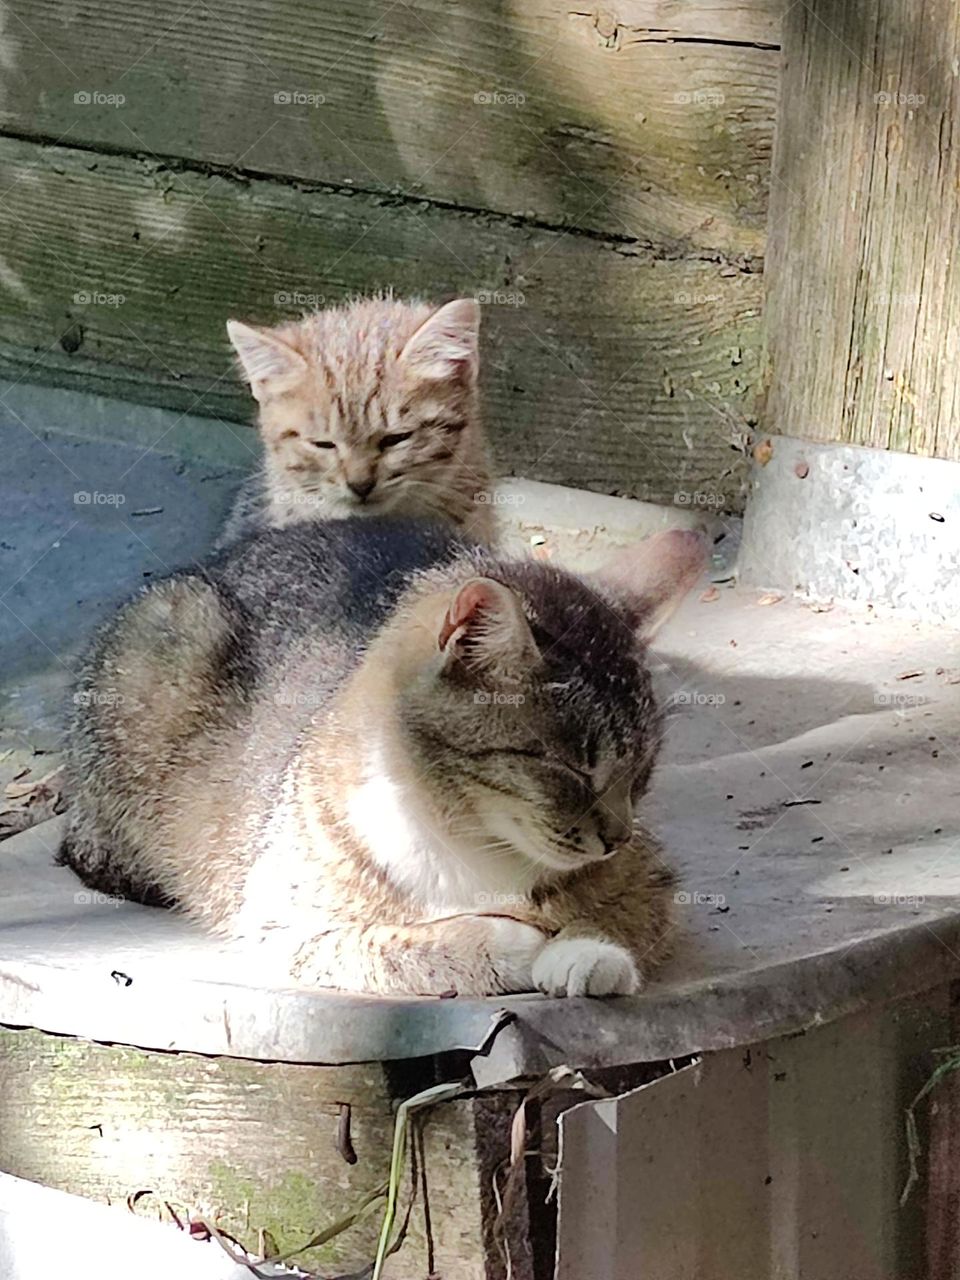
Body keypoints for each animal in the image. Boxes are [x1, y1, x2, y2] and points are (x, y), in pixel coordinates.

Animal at [60, 519, 706, 998]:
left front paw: (585, 953)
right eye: (573, 767)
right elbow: (397, 948)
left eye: (641, 771)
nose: (617, 837)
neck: (471, 839)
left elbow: (624, 915)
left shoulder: (653, 881)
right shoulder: (285, 924)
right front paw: (510, 943)